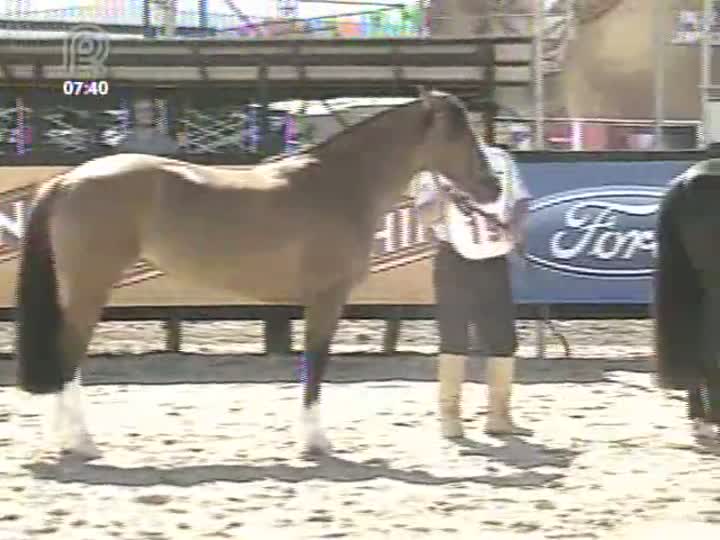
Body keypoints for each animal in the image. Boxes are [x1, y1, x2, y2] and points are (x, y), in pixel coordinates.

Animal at [16, 89, 500, 460]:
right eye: (459, 133)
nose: (493, 187)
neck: (340, 184)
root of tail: (67, 180)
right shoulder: (327, 297)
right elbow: (316, 364)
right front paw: (314, 442)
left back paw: (63, 440)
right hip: (89, 289)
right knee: (67, 355)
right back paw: (81, 442)